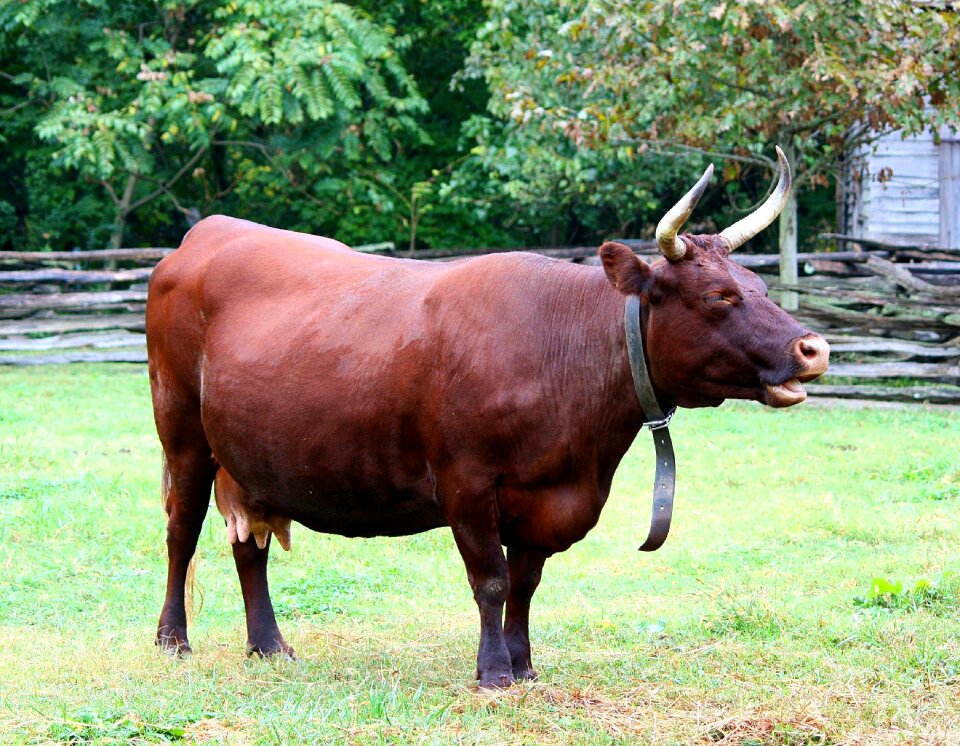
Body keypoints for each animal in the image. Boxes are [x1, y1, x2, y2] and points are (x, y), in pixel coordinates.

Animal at [148, 147, 824, 684]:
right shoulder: (466, 483)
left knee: (250, 544)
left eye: (761, 287)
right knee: (182, 531)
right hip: (182, 434)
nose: (812, 348)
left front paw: (523, 666)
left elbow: (524, 583)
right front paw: (494, 671)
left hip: (248, 456)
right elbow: (491, 579)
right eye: (719, 296)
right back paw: (173, 640)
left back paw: (268, 645)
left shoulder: (546, 498)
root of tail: (206, 234)